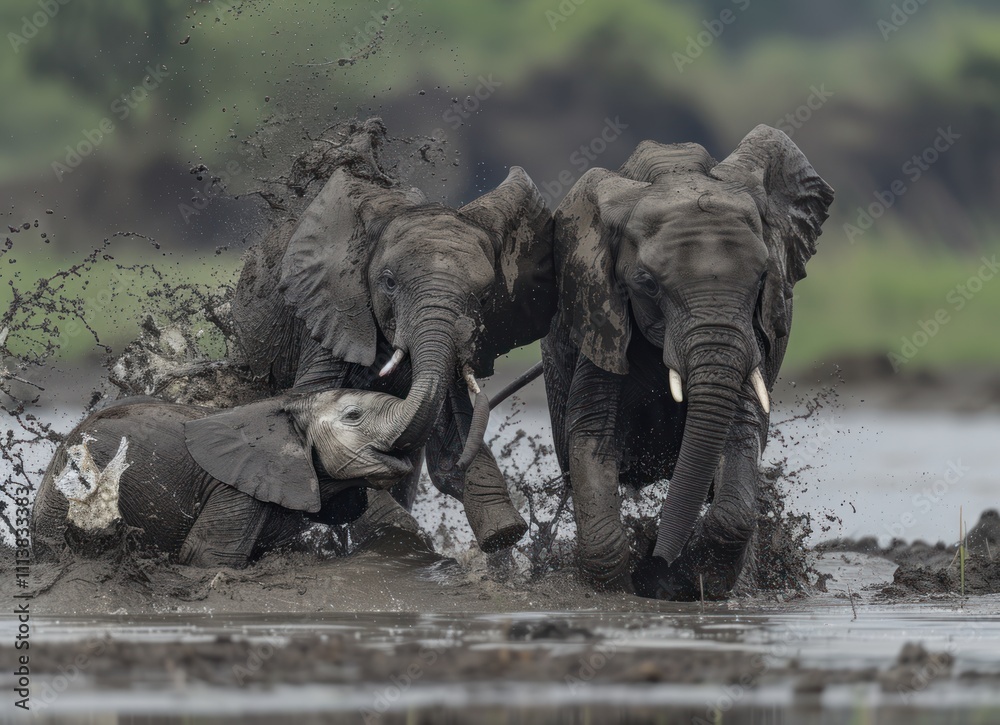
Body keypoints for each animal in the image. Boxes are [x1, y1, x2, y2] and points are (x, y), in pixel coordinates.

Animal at [232, 120, 556, 553]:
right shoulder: (333, 313)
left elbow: (449, 425)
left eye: (486, 298)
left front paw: (501, 532)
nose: (509, 533)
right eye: (387, 282)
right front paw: (406, 536)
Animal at [541, 125, 834, 599]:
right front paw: (616, 590)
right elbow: (589, 435)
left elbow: (739, 436)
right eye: (646, 284)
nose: (659, 562)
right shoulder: (601, 322)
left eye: (762, 277)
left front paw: (699, 582)